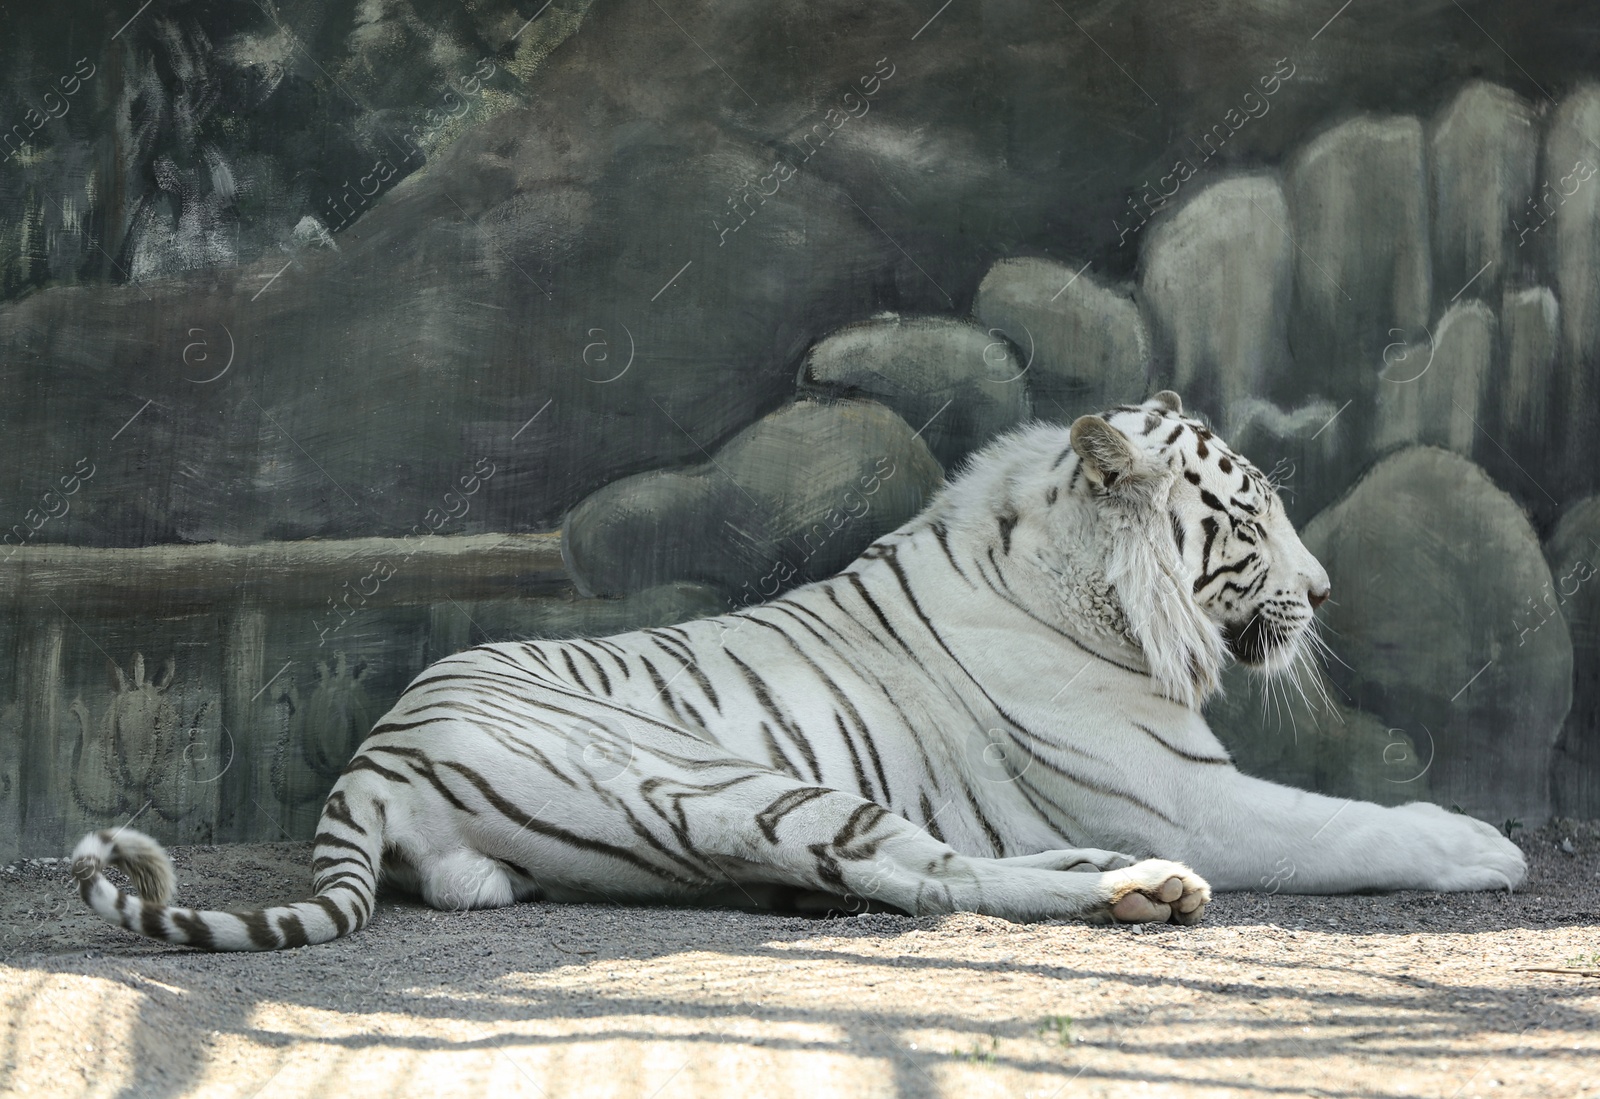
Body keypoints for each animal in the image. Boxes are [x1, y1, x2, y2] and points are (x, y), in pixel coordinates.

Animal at [70, 391, 1526, 950]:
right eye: (1254, 515)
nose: (1324, 592)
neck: (1077, 584)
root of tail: (370, 756)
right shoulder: (1191, 794)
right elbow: (1349, 823)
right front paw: (1482, 844)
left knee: (927, 868)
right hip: (729, 780)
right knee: (924, 876)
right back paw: (1136, 886)